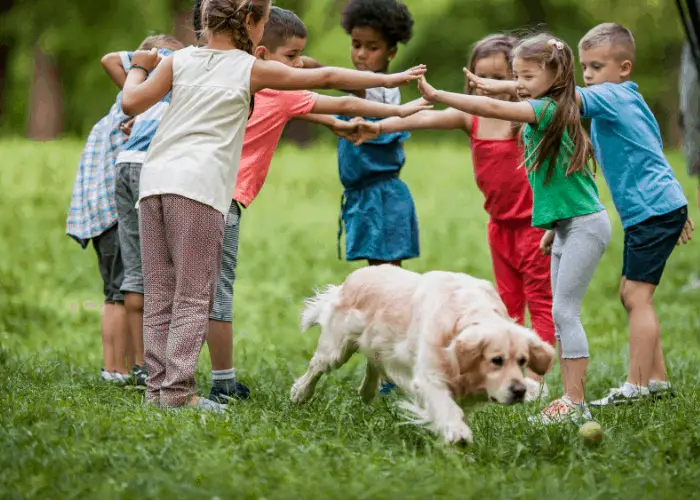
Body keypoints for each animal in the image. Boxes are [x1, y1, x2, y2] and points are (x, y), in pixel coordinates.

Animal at [288, 266, 552, 446]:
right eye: (496, 360)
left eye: (522, 361)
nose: (519, 391)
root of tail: (353, 277)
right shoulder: (429, 378)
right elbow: (446, 407)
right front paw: (458, 434)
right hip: (337, 348)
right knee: (316, 367)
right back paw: (300, 393)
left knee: (373, 365)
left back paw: (367, 392)